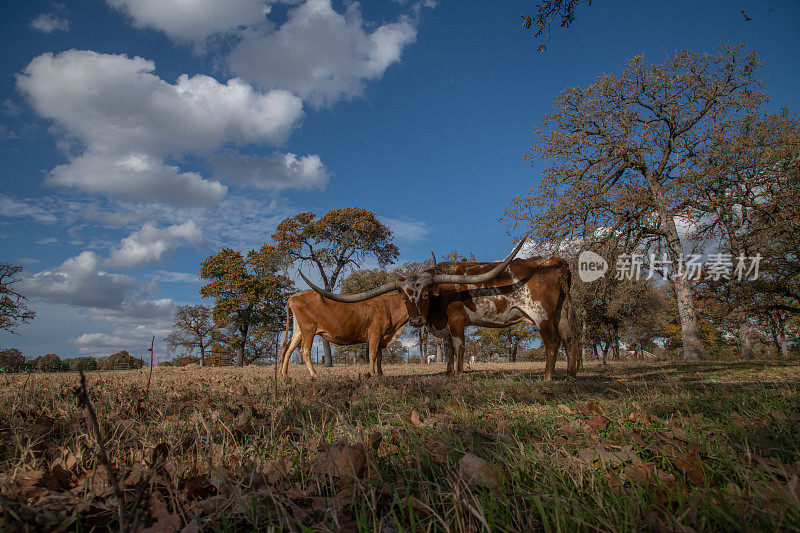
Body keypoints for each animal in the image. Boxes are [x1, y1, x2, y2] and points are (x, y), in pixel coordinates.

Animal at [304, 235, 580, 380]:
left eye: (426, 294)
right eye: (404, 297)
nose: (416, 322)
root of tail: (556, 261)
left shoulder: (457, 321)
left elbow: (458, 347)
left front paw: (458, 375)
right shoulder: (445, 328)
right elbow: (447, 349)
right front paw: (447, 373)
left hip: (541, 315)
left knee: (553, 342)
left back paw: (547, 377)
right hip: (560, 313)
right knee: (569, 339)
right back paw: (570, 375)